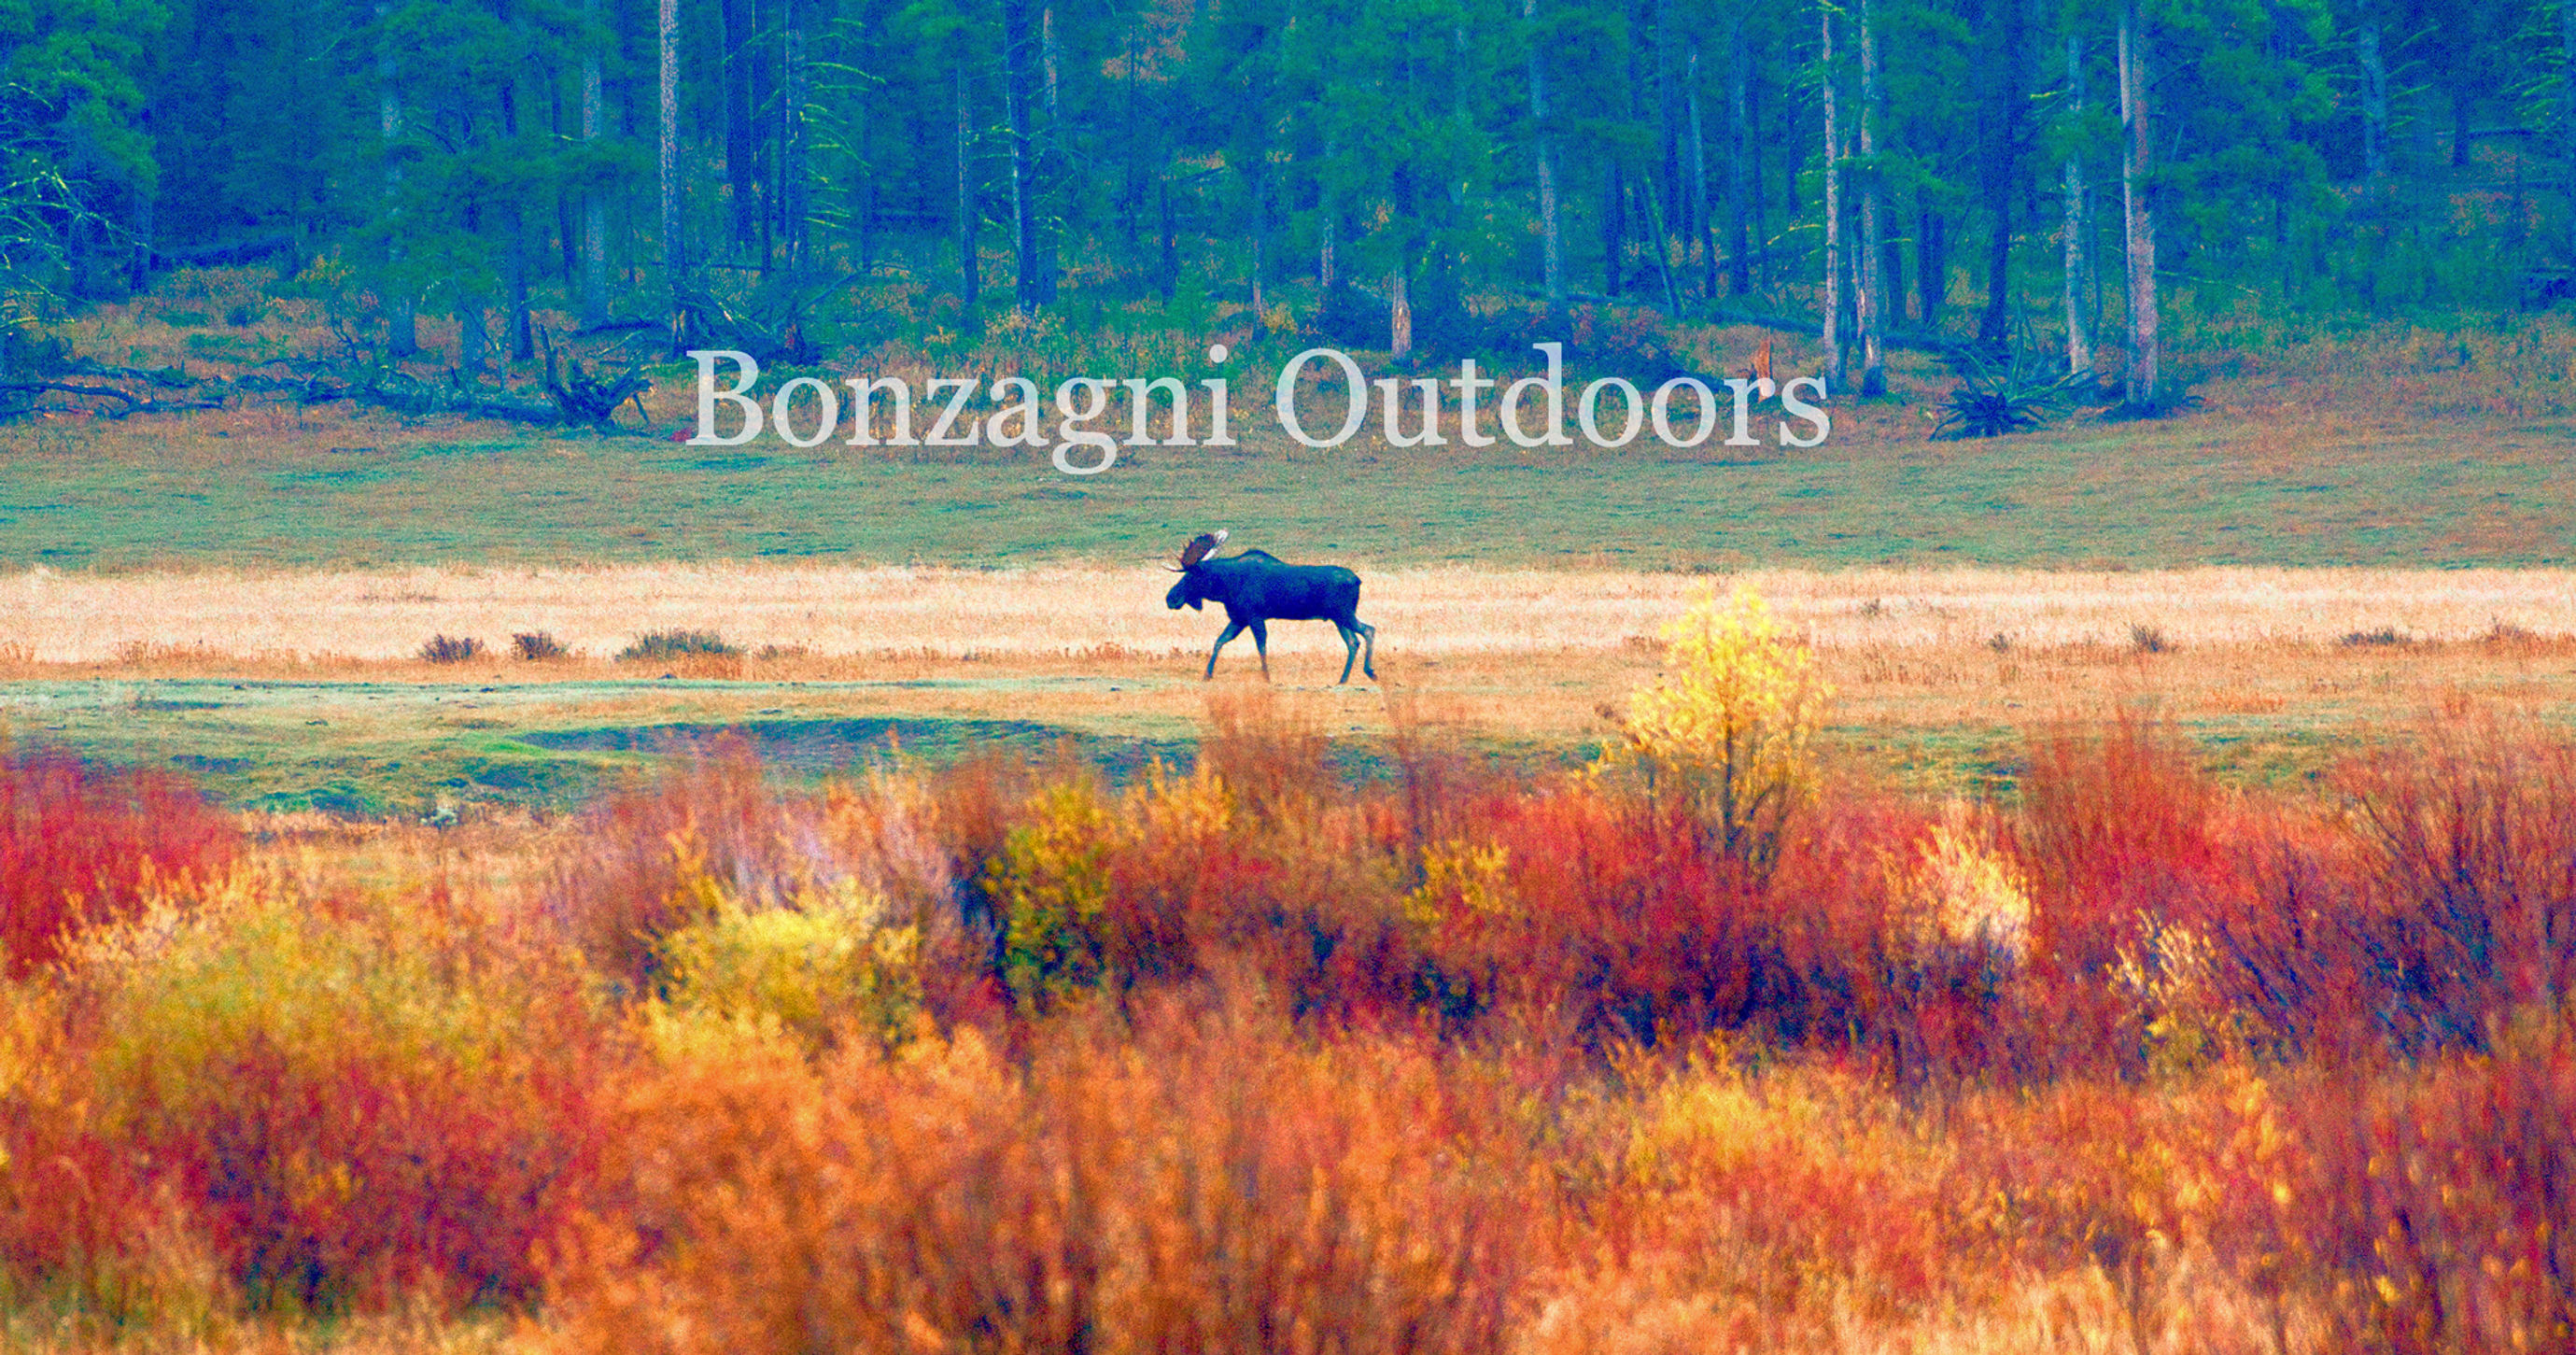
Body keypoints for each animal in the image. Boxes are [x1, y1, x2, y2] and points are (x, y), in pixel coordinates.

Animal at [1164, 529, 1378, 684]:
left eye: (1190, 576)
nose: (1170, 598)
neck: (1225, 586)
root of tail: (1358, 580)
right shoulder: (1238, 618)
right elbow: (1219, 641)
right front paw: (1207, 674)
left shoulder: (1254, 616)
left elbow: (1261, 646)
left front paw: (1266, 677)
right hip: (1337, 618)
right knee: (1353, 642)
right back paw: (1343, 679)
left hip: (1344, 614)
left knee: (1368, 630)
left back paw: (1370, 671)